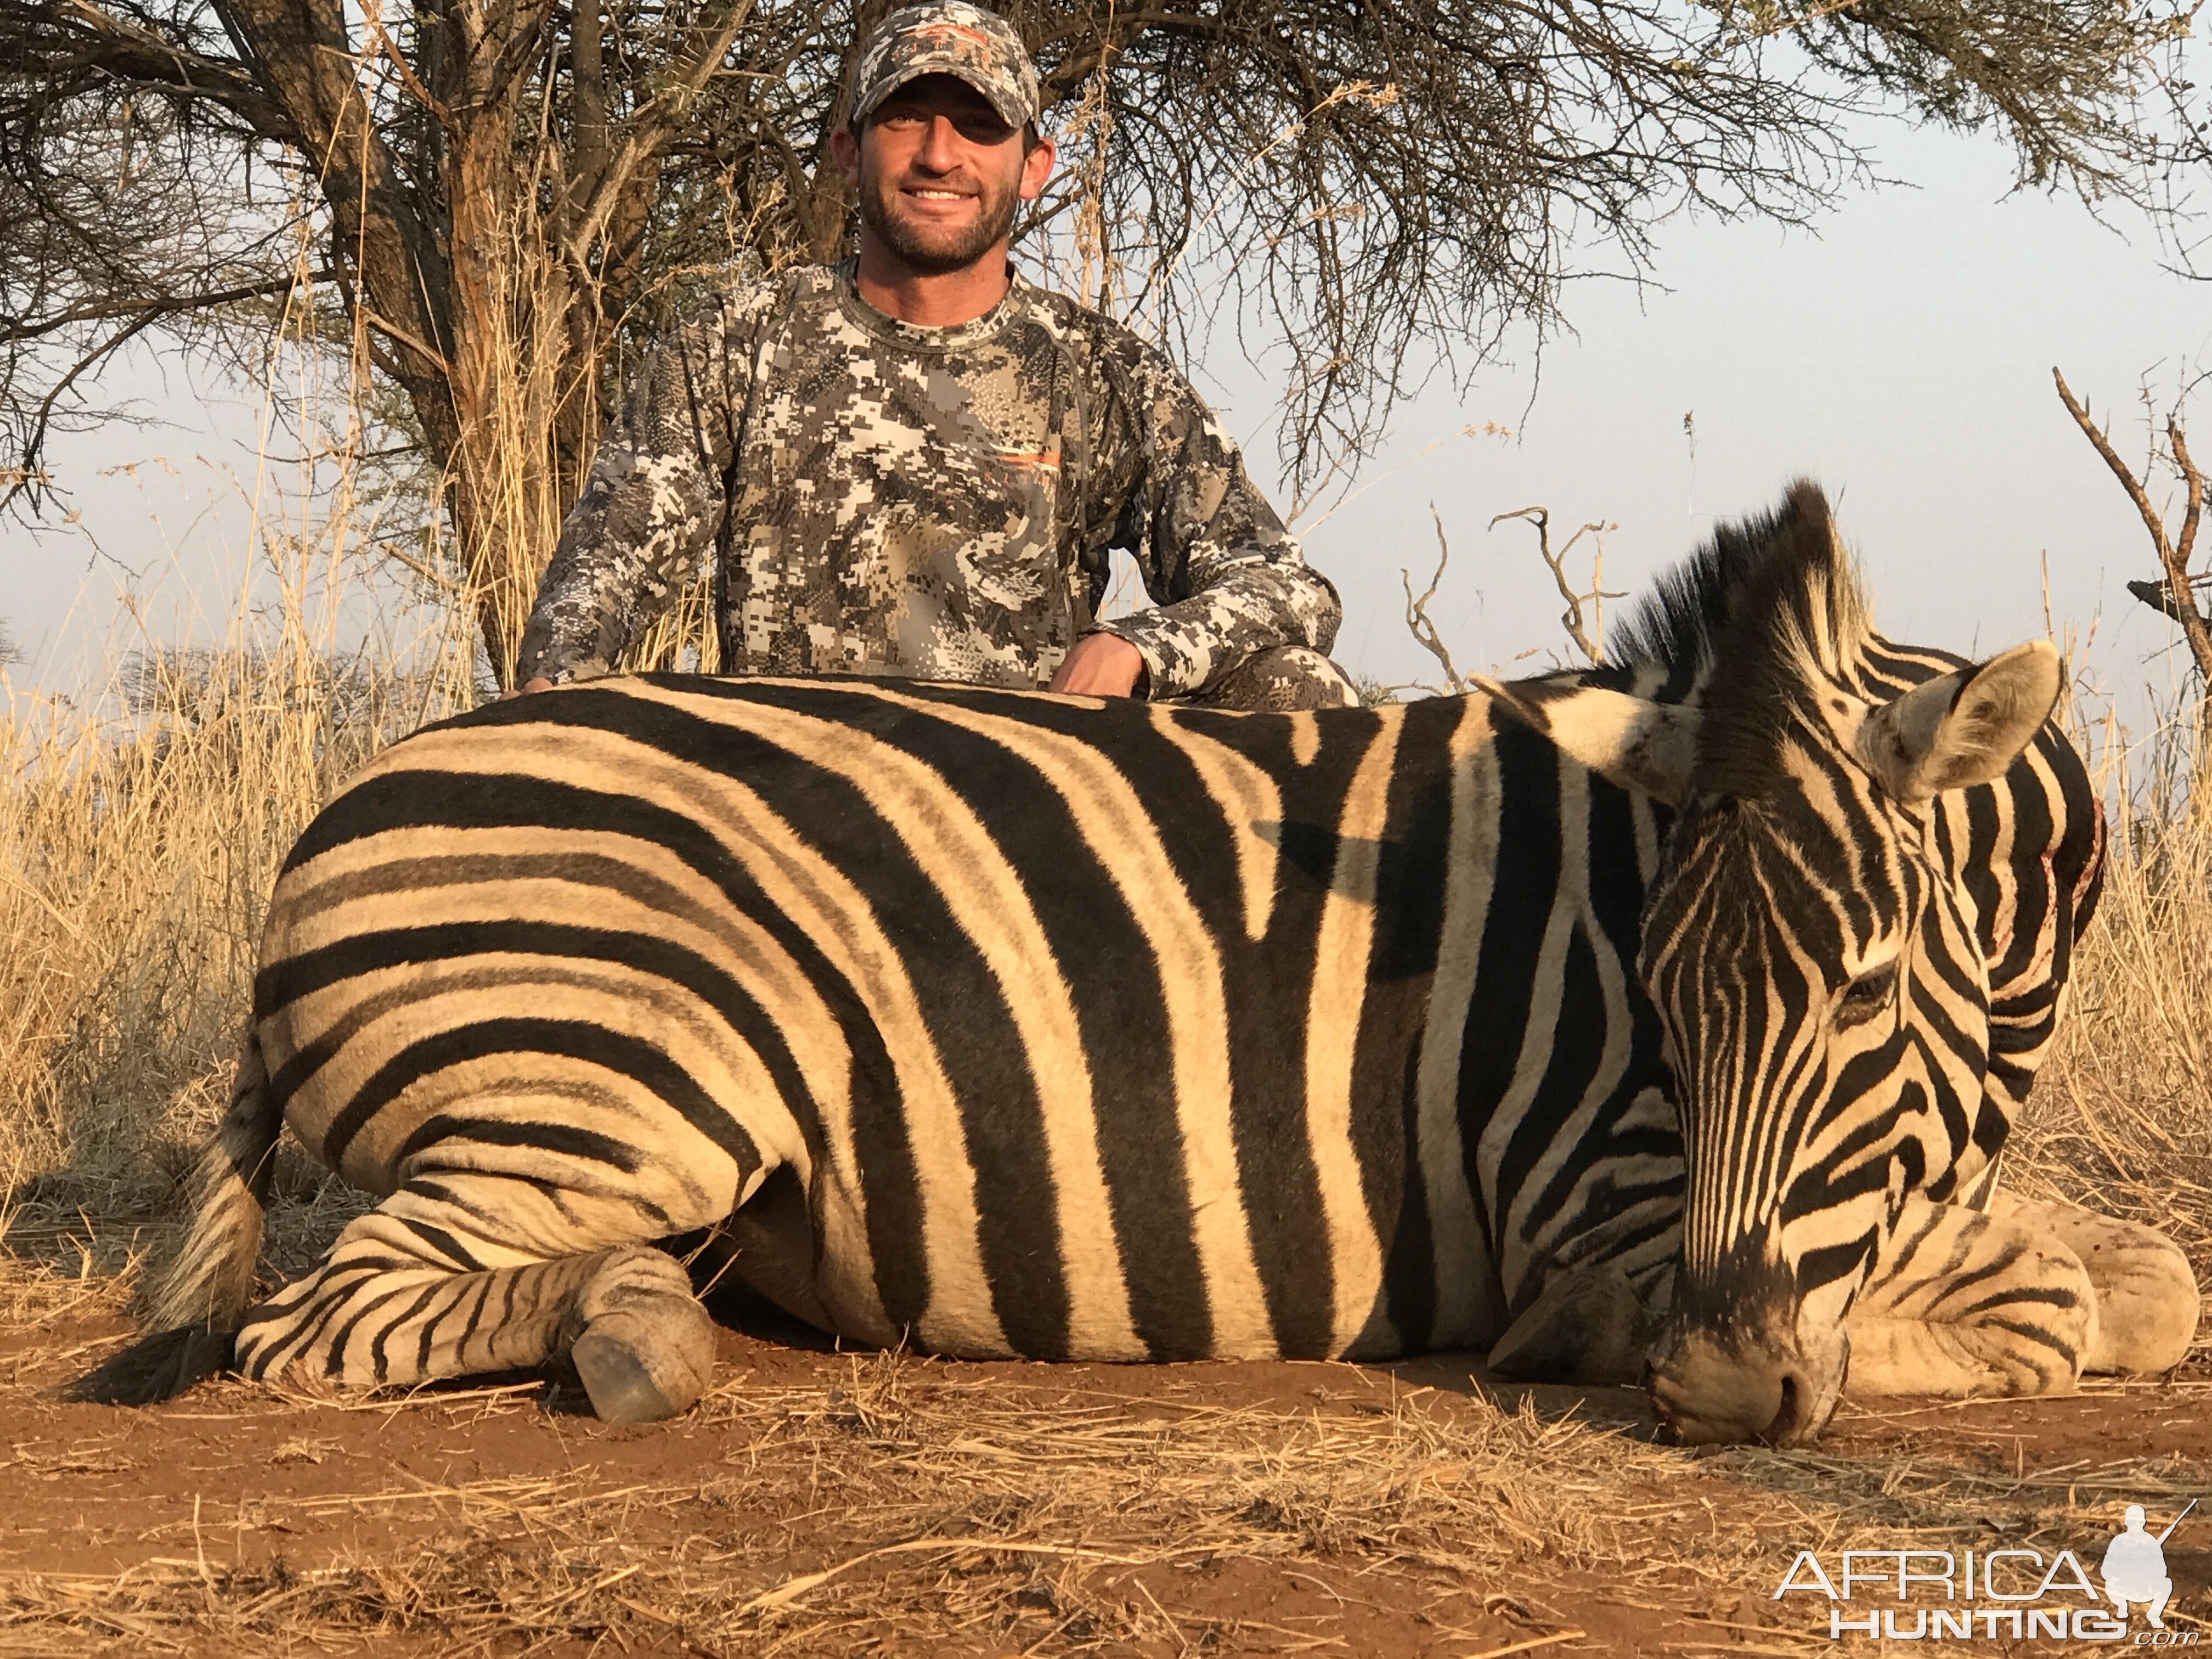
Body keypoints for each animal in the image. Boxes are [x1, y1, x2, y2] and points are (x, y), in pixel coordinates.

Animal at [91, 479, 2194, 1442]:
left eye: (1867, 989)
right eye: (1663, 1013)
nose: (1721, 1389)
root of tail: (329, 822)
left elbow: (2142, 1279)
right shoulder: (1592, 1197)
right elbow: (2056, 1307)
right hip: (630, 1076)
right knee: (318, 1320)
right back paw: (637, 1337)